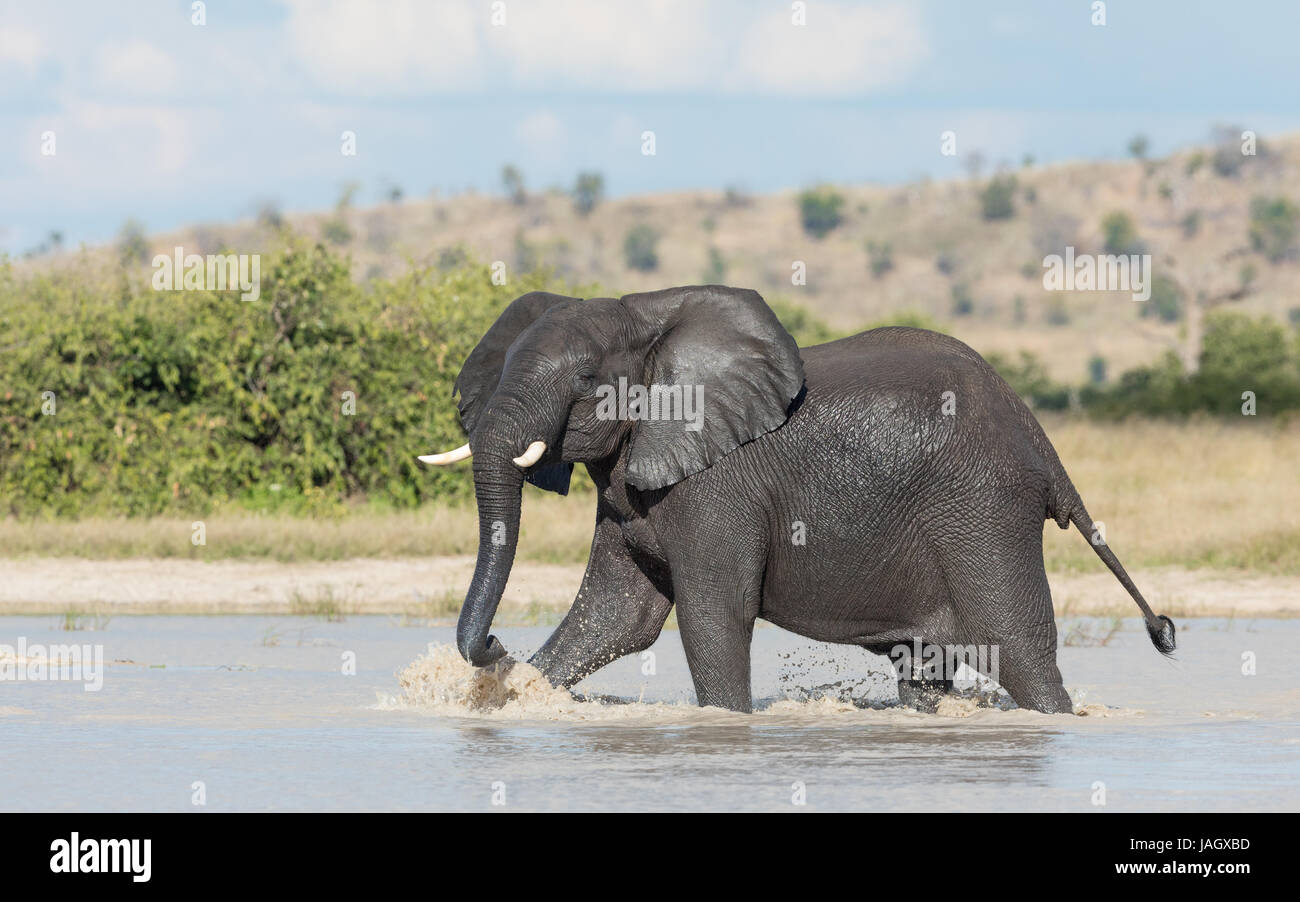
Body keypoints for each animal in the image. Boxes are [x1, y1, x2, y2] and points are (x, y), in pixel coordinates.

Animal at [421, 285, 1175, 717]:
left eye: (583, 381)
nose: (495, 644)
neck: (648, 320)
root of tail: (1042, 442)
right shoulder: (631, 482)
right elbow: (617, 616)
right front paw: (519, 695)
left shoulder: (717, 486)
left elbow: (712, 616)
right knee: (927, 668)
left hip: (984, 509)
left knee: (1016, 647)